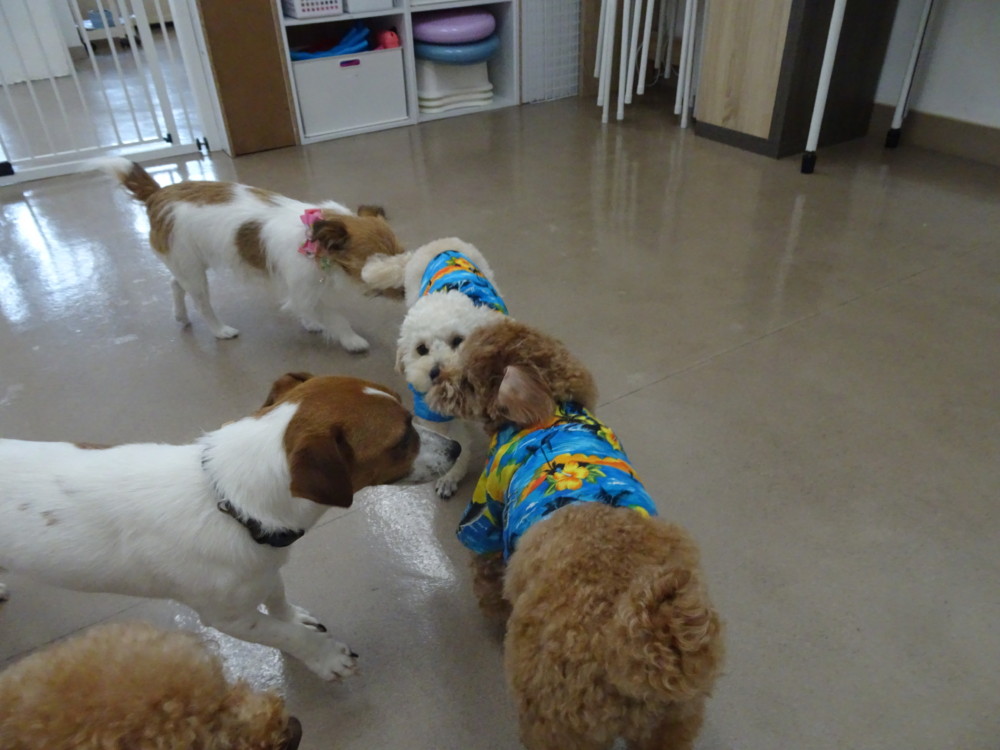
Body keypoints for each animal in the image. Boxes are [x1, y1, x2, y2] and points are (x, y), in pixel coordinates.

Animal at [0, 373, 460, 681]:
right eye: (402, 439)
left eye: (409, 413)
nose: (456, 447)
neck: (229, 502)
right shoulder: (228, 619)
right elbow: (283, 635)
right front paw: (325, 657)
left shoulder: (266, 567)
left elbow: (278, 600)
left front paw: (295, 616)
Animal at [92, 157, 405, 352]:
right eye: (377, 265)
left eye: (402, 254)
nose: (406, 292)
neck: (314, 241)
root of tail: (158, 194)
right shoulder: (304, 287)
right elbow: (334, 316)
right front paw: (351, 340)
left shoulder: (300, 287)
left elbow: (306, 308)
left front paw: (310, 323)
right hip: (194, 271)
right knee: (201, 303)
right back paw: (220, 330)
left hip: (186, 263)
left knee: (175, 284)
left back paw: (180, 316)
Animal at [361, 237, 508, 498]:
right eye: (421, 349)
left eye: (458, 340)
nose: (435, 373)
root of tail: (437, 243)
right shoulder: (438, 415)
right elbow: (455, 445)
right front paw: (450, 477)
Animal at [425, 319, 724, 750]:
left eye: (465, 379)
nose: (434, 378)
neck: (554, 408)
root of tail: (638, 647)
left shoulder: (490, 515)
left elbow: (488, 578)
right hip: (672, 723)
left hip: (556, 720)